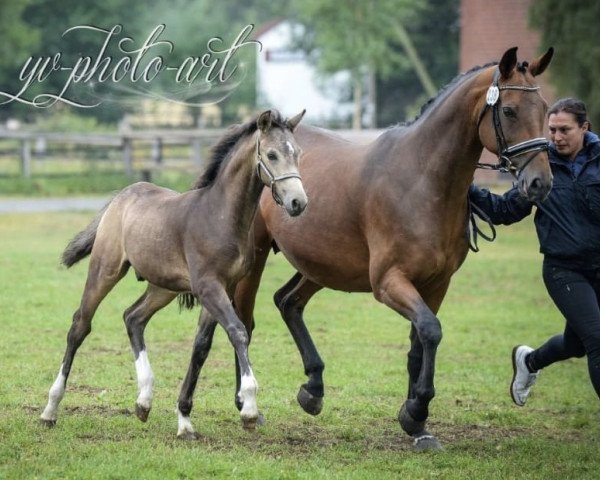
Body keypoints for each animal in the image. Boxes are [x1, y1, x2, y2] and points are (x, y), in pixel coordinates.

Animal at [39, 109, 308, 438]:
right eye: (271, 154)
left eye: (298, 153)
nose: (298, 202)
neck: (219, 215)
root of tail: (122, 195)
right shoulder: (208, 286)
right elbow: (237, 331)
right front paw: (249, 409)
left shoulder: (225, 287)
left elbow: (202, 346)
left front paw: (185, 420)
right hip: (105, 270)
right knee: (80, 325)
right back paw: (50, 409)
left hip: (163, 287)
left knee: (133, 317)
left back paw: (143, 402)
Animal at [230, 47, 552, 448]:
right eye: (509, 111)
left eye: (545, 108)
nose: (541, 182)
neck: (421, 181)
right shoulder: (389, 282)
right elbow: (431, 330)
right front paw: (415, 409)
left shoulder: (436, 284)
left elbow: (420, 342)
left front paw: (418, 424)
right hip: (256, 258)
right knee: (243, 321)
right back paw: (245, 404)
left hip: (322, 265)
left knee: (288, 302)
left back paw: (313, 389)